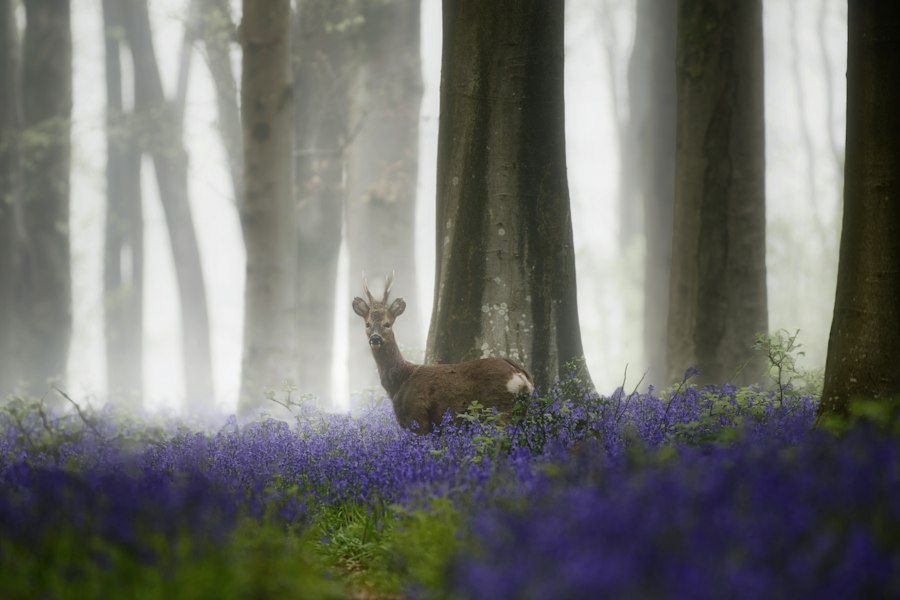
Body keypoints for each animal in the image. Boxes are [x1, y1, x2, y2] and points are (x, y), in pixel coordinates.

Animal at [352, 274, 534, 433]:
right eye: (368, 324)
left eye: (387, 324)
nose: (375, 338)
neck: (399, 382)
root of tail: (520, 375)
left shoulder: (417, 417)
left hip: (499, 410)